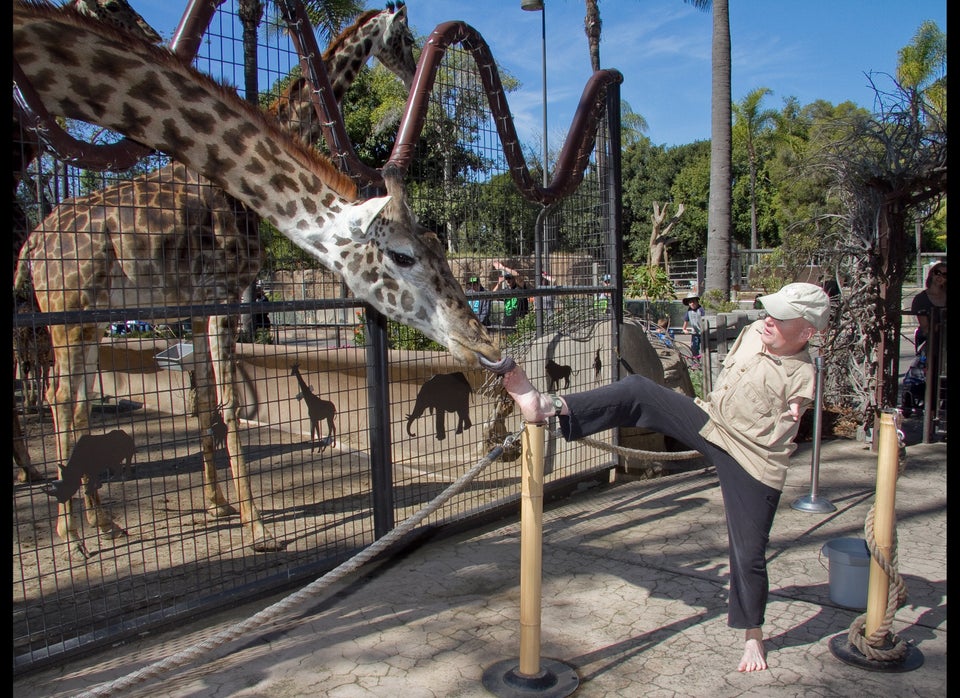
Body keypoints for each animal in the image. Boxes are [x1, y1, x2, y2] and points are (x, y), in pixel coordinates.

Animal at [13, 0, 502, 556]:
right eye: (401, 37)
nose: (483, 344)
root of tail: (33, 243)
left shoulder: (199, 302)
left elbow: (203, 401)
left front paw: (219, 505)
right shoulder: (224, 291)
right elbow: (226, 403)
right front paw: (257, 527)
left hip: (89, 316)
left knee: (75, 404)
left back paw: (99, 522)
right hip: (68, 313)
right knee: (61, 402)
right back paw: (72, 532)